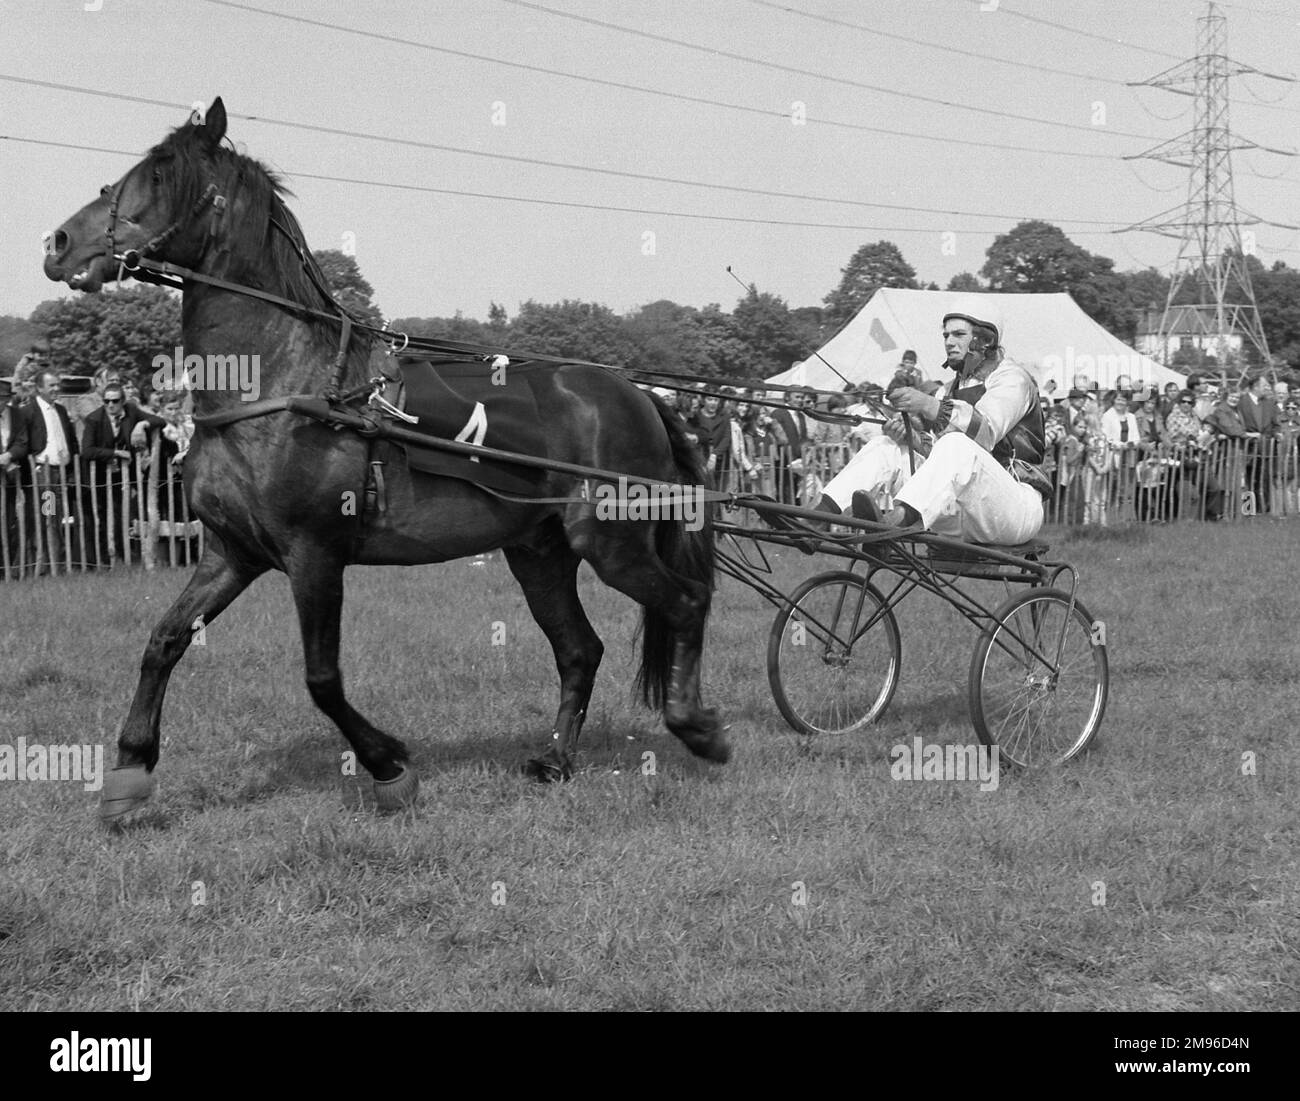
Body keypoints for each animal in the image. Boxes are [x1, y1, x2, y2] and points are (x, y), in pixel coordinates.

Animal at [45, 98, 728, 821]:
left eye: (158, 173)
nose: (58, 243)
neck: (285, 384)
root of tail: (641, 395)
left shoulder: (314, 553)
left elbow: (322, 678)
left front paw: (388, 764)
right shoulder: (232, 552)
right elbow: (164, 641)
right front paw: (128, 769)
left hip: (612, 540)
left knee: (685, 600)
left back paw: (697, 726)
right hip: (538, 552)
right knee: (579, 649)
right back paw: (556, 759)